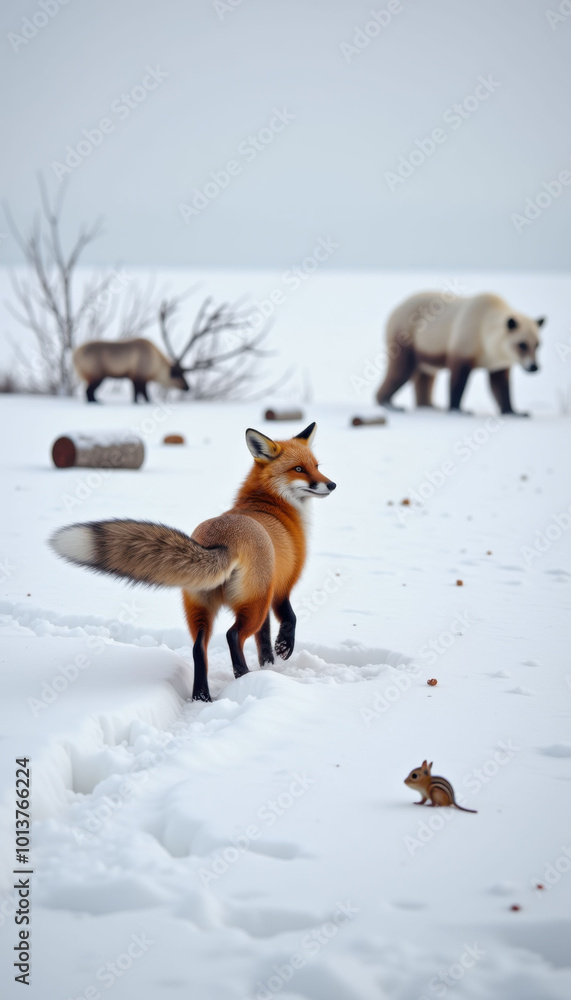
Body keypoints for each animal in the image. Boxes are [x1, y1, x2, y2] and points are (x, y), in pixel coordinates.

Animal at [49, 423, 336, 702]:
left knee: (199, 648)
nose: (332, 484)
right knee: (232, 635)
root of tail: (222, 540)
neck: (271, 506)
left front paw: (268, 665)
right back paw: (242, 677)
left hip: (203, 608)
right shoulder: (281, 588)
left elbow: (262, 640)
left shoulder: (267, 597)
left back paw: (202, 696)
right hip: (254, 603)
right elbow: (289, 618)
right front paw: (283, 649)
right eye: (298, 469)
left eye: (316, 466)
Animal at [375, 292, 545, 416]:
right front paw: (459, 409)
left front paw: (515, 412)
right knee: (401, 371)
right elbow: (458, 379)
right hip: (408, 335)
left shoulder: (496, 362)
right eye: (522, 344)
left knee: (425, 375)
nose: (534, 367)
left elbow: (499, 384)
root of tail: (396, 308)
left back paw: (429, 405)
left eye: (538, 344)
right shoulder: (465, 340)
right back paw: (390, 404)